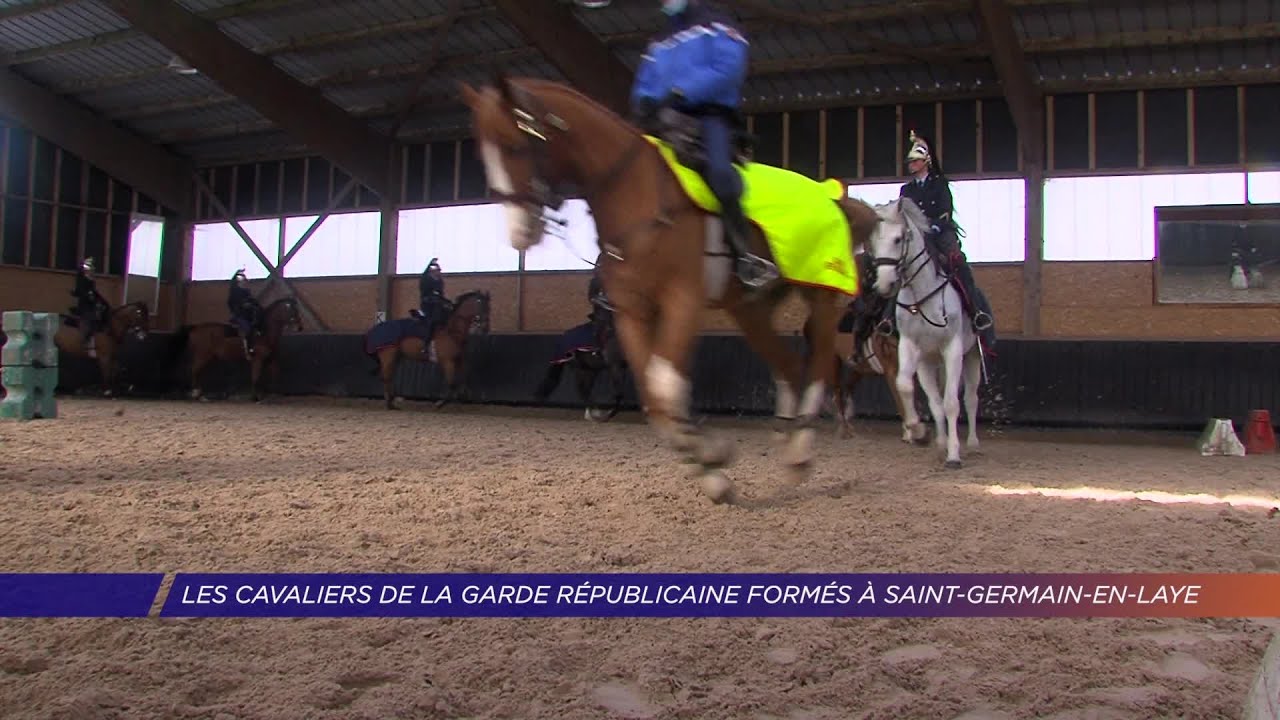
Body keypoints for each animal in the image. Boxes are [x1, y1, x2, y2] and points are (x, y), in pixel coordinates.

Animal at [166, 294, 303, 399]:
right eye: (292, 311)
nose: (299, 327)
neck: (264, 332)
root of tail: (195, 328)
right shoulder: (257, 359)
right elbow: (256, 376)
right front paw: (255, 397)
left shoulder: (271, 359)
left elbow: (275, 373)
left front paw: (273, 393)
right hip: (202, 355)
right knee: (194, 370)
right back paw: (197, 394)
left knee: (196, 371)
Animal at [460, 74, 880, 499]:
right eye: (484, 157)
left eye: (513, 145)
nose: (520, 234)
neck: (636, 195)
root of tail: (830, 195)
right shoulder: (632, 312)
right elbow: (654, 396)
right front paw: (709, 466)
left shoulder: (682, 300)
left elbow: (665, 383)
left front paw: (711, 455)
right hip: (750, 308)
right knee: (790, 364)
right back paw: (789, 447)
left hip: (821, 294)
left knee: (820, 364)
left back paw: (802, 448)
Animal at [865, 196, 983, 468]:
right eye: (873, 242)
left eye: (898, 239)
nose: (884, 284)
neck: (923, 295)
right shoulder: (910, 348)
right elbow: (907, 388)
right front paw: (921, 434)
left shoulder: (952, 349)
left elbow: (952, 403)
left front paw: (954, 455)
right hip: (929, 363)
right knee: (936, 400)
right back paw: (941, 441)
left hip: (972, 356)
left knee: (971, 399)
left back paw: (972, 444)